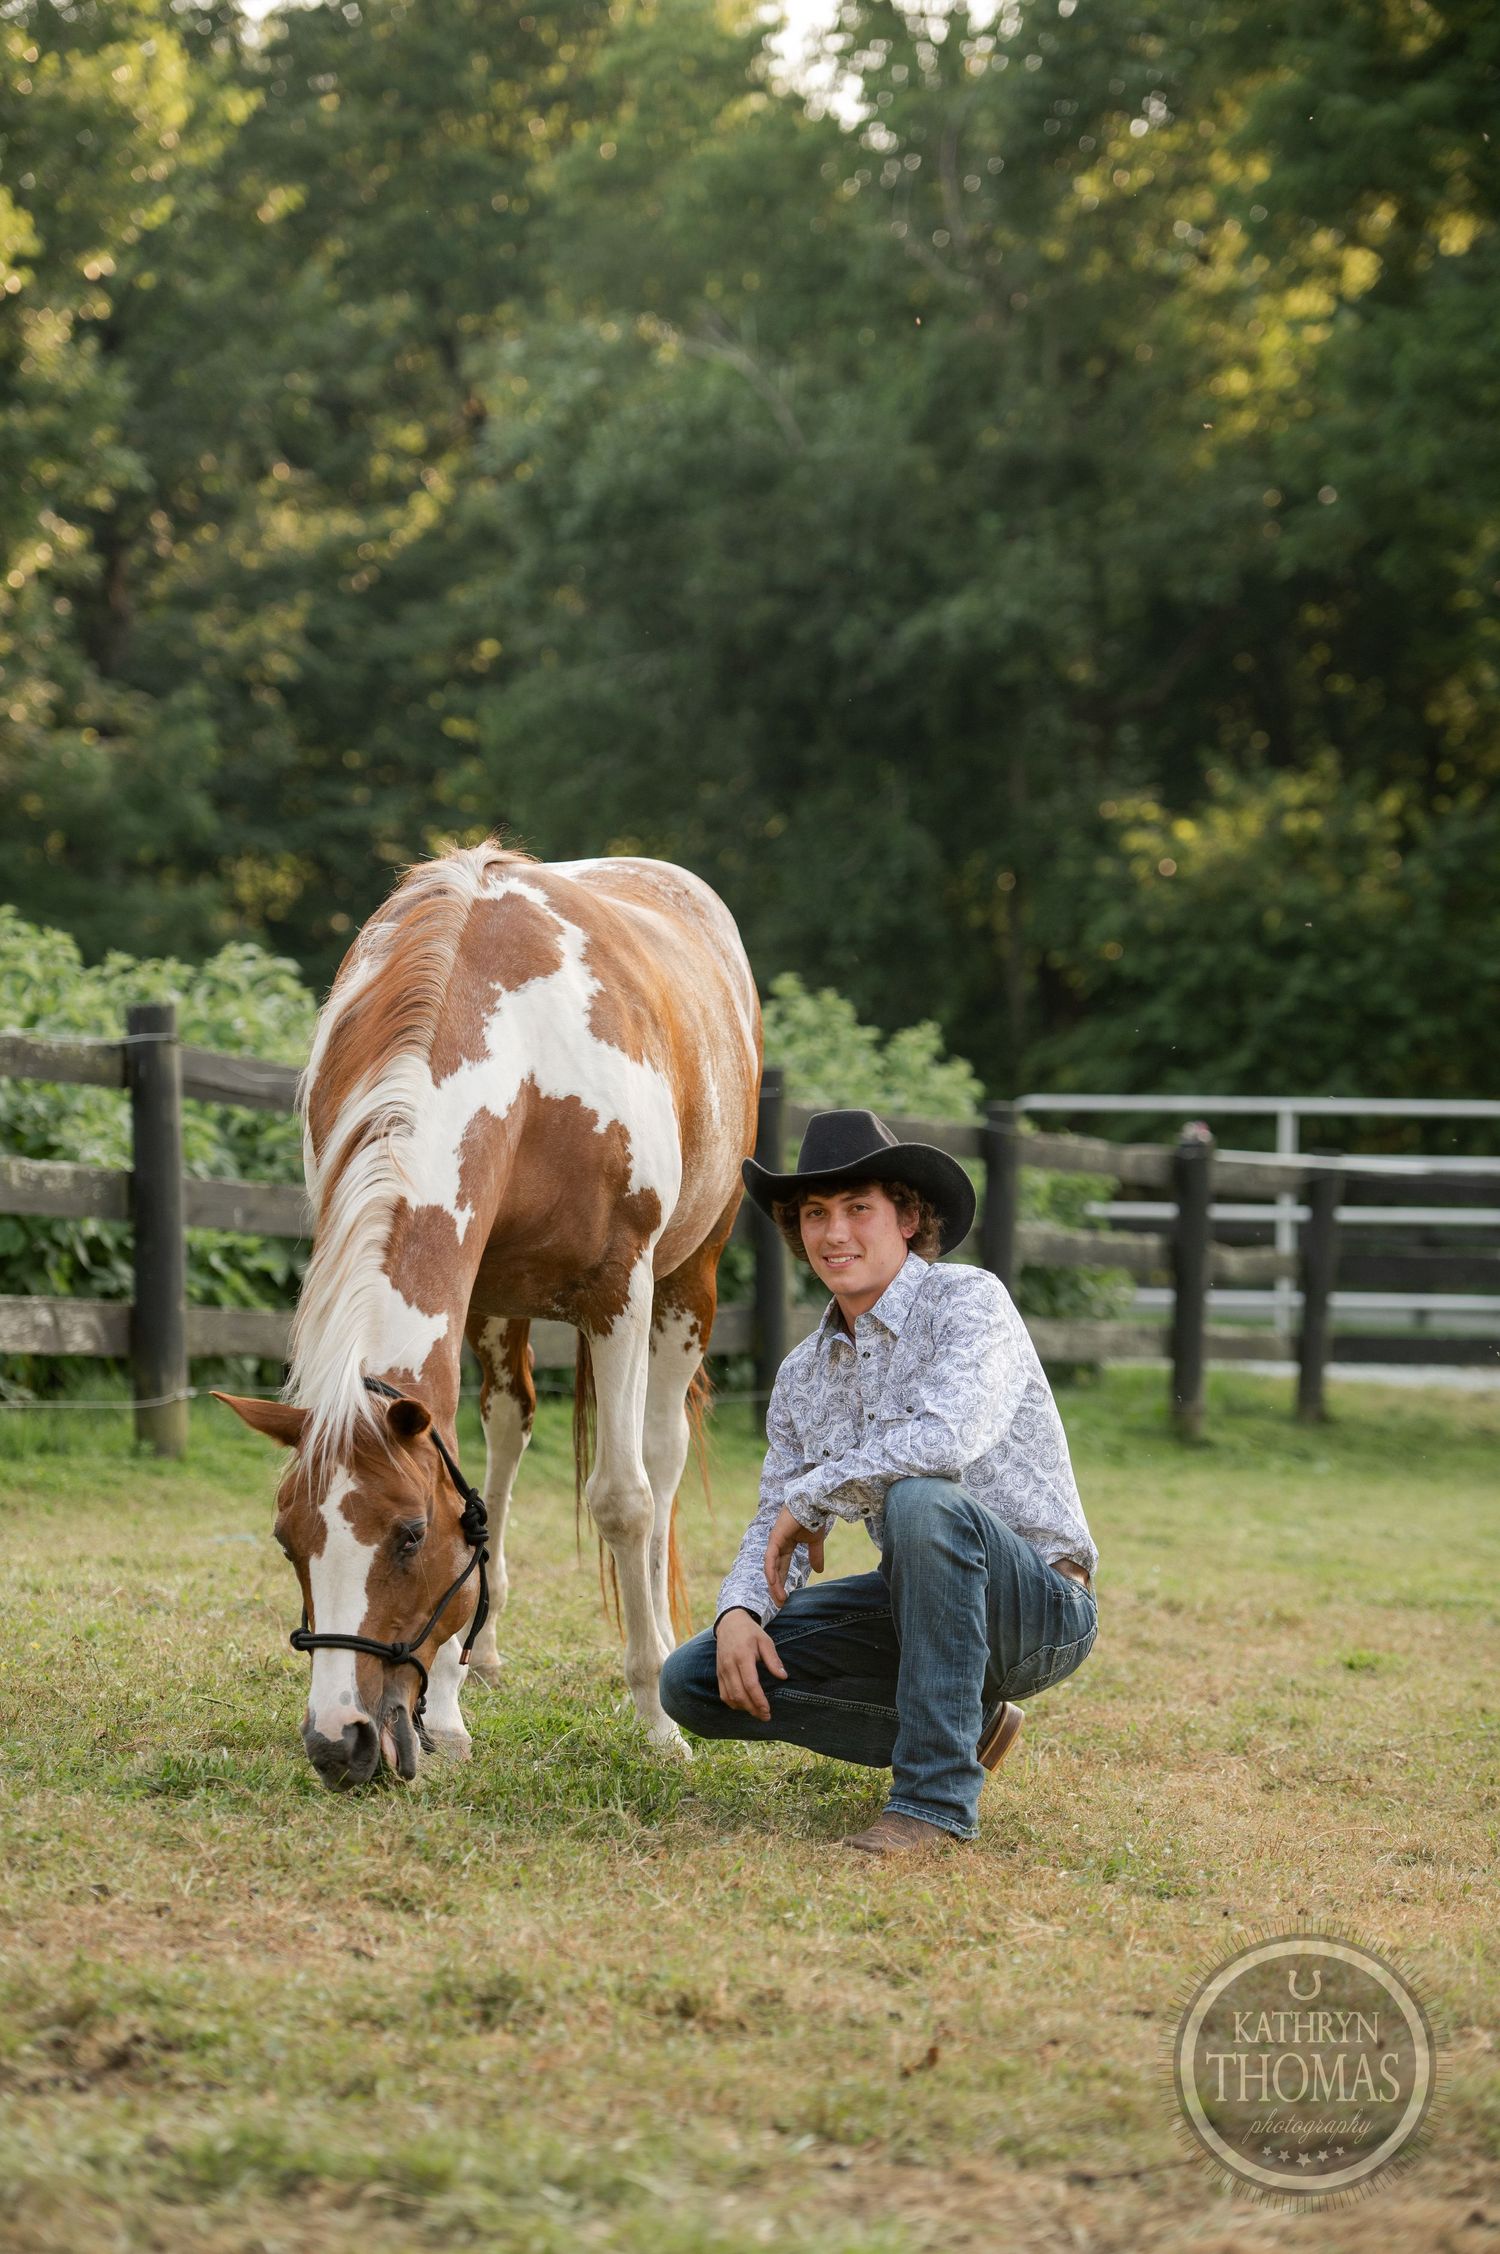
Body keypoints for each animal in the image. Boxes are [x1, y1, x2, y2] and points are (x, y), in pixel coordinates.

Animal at [216, 843, 761, 1788]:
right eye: (289, 1541)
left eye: (407, 1537)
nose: (339, 1742)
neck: (526, 1058)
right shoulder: (467, 1296)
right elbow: (473, 1480)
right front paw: (448, 1711)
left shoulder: (621, 1291)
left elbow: (623, 1499)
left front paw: (657, 1720)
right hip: (503, 1313)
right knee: (509, 1435)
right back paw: (480, 1659)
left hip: (689, 1282)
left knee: (660, 1461)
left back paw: (660, 1642)